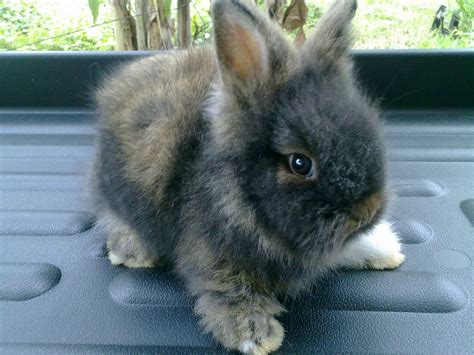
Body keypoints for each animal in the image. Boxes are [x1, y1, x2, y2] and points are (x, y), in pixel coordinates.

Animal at [91, 0, 404, 354]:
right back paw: (132, 252)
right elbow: (230, 290)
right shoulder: (214, 256)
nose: (367, 212)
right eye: (300, 163)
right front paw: (256, 334)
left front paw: (386, 249)